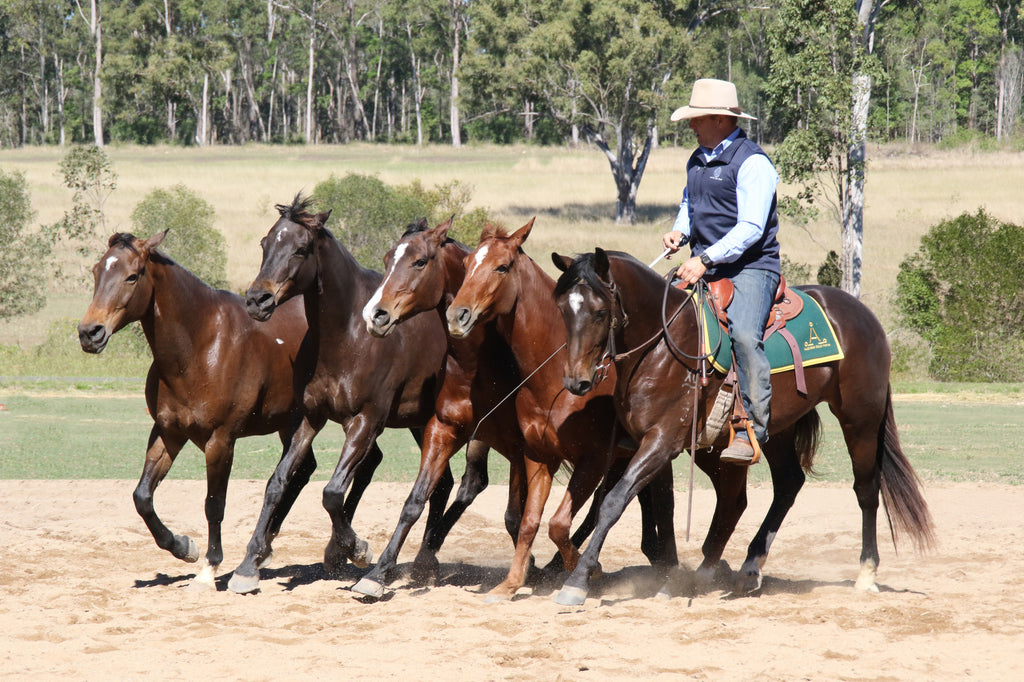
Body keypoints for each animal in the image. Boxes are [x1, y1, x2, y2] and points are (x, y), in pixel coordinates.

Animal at [77, 231, 311, 585]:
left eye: (133, 276)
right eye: (95, 272)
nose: (90, 333)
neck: (201, 346)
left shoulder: (220, 441)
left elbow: (214, 504)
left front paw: (210, 567)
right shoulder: (168, 432)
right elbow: (142, 497)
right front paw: (183, 547)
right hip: (289, 423)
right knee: (302, 472)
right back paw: (264, 552)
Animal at [229, 193, 491, 593]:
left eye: (301, 249)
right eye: (264, 243)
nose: (258, 300)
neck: (347, 335)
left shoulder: (365, 421)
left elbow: (332, 492)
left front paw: (358, 550)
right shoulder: (310, 418)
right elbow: (277, 483)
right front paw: (248, 565)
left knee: (470, 484)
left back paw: (422, 561)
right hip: (423, 424)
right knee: (442, 484)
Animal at [442, 220, 675, 598]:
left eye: (502, 267)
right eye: (466, 265)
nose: (457, 316)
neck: (554, 378)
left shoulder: (592, 461)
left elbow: (558, 523)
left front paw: (586, 573)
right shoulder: (538, 455)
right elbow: (529, 522)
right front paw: (511, 584)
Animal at [552, 249, 937, 606]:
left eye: (599, 312)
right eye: (562, 310)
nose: (576, 381)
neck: (664, 345)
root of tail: (863, 314)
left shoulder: (662, 441)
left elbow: (614, 502)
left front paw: (577, 582)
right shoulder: (644, 443)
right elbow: (656, 506)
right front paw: (668, 579)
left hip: (860, 419)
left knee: (866, 489)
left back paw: (866, 572)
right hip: (777, 429)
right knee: (786, 484)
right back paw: (746, 568)